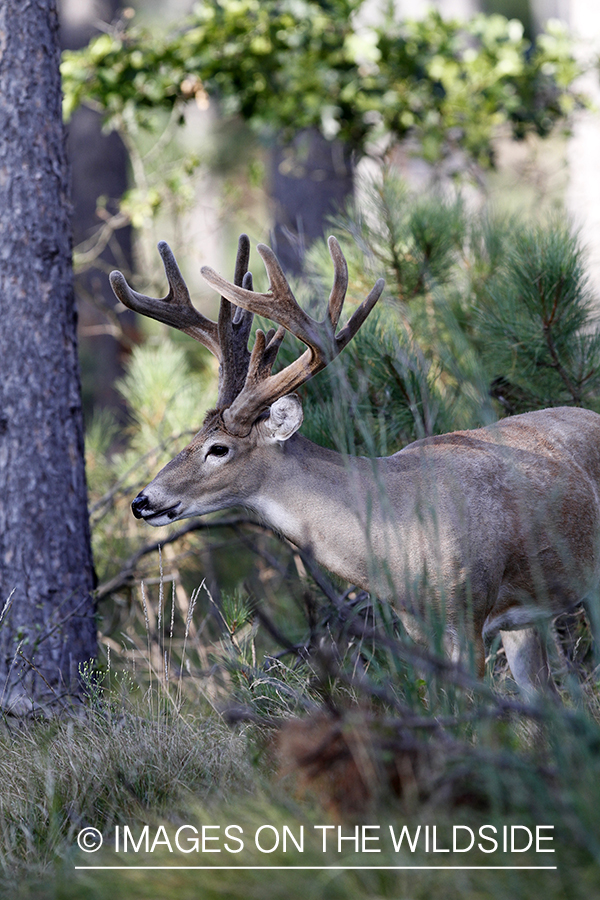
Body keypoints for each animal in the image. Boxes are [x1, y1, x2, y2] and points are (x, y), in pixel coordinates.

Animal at [110, 234, 600, 696]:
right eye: (194, 434)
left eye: (218, 449)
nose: (142, 501)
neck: (399, 536)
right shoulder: (418, 626)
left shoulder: (467, 610)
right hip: (525, 620)